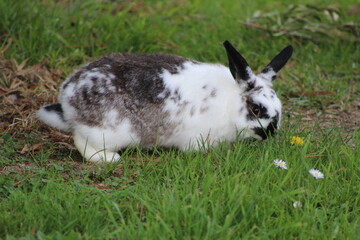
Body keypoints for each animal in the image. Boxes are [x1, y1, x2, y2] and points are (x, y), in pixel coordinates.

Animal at [37, 41, 292, 162]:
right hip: (108, 131)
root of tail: (67, 96)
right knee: (81, 141)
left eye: (279, 109)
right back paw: (110, 159)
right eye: (256, 109)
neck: (230, 105)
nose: (270, 134)